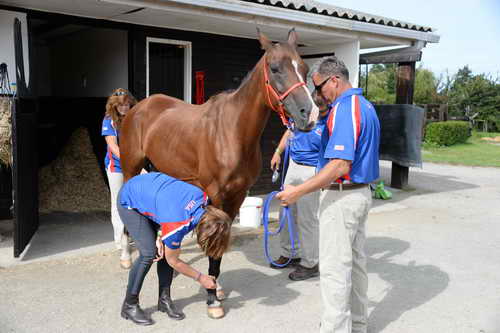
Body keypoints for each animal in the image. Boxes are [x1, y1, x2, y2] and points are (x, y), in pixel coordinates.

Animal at [119, 29, 318, 312]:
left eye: (304, 68)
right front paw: (212, 298)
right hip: (131, 167)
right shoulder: (217, 194)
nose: (309, 115)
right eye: (275, 68)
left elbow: (219, 247)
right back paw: (126, 257)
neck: (232, 131)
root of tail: (138, 108)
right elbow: (213, 247)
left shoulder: (237, 196)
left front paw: (216, 287)